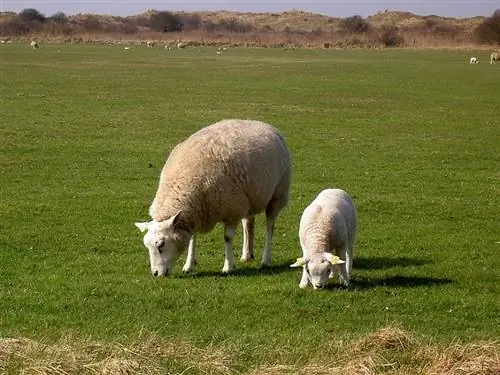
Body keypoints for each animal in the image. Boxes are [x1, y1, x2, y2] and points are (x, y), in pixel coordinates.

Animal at [135, 119, 292, 278]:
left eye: (161, 245)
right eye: (147, 245)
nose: (155, 274)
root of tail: (263, 124)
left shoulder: (232, 209)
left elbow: (227, 238)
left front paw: (228, 267)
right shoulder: (197, 212)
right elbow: (192, 238)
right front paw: (188, 265)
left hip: (278, 194)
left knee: (270, 226)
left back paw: (265, 259)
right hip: (250, 198)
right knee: (248, 224)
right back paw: (247, 255)